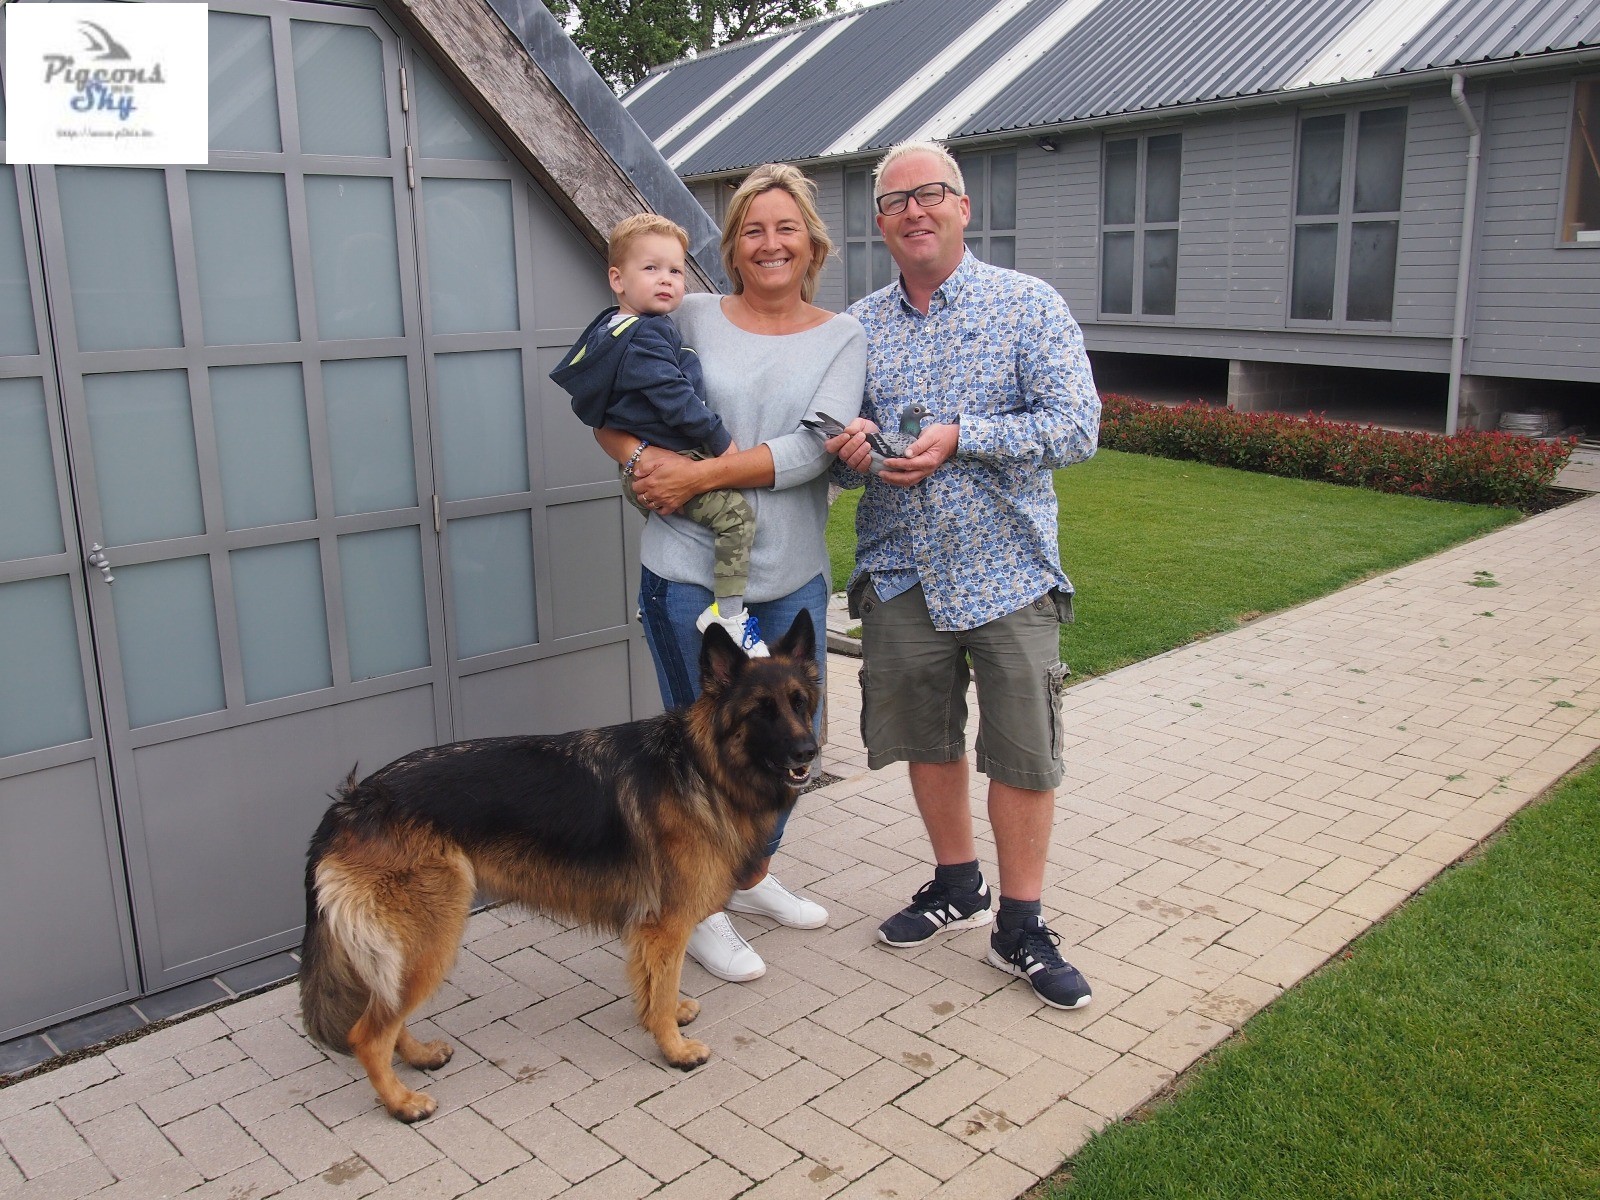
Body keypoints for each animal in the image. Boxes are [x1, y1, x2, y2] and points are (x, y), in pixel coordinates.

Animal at [297, 612, 819, 1121]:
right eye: (762, 710)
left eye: (800, 704)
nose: (808, 753)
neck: (701, 768)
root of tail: (351, 803)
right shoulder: (666, 925)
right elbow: (664, 982)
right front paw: (673, 1047)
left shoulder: (649, 930)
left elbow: (654, 985)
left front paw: (662, 1017)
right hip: (432, 937)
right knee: (366, 1035)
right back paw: (402, 1103)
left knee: (383, 1012)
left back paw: (419, 1056)